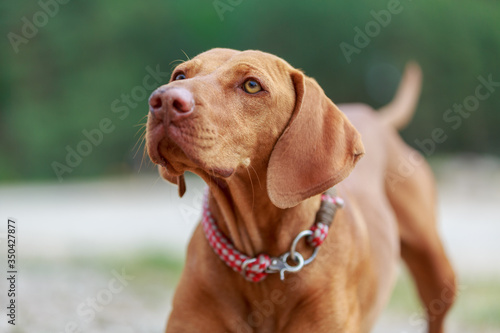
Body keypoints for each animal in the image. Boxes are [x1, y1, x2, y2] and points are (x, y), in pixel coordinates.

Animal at [146, 47, 458, 332]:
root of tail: (375, 117)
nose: (164, 100)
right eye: (180, 75)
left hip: (437, 272)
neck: (264, 259)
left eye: (251, 85)